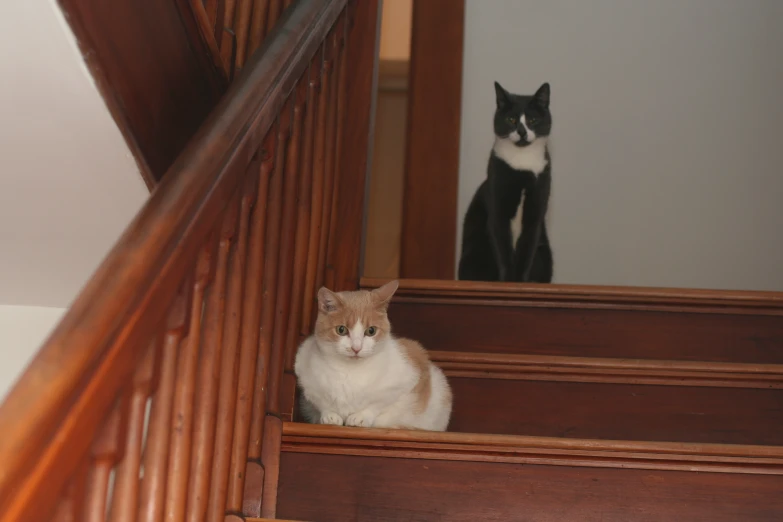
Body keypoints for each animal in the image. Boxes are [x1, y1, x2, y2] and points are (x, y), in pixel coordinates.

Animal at [294, 280, 454, 430]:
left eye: (371, 331)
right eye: (341, 330)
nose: (356, 348)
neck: (350, 371)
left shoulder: (407, 379)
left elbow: (377, 404)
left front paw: (360, 417)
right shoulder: (307, 380)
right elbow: (323, 403)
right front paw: (330, 415)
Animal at [456, 82, 556, 282]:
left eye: (532, 120)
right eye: (511, 119)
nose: (522, 132)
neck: (523, 162)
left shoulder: (535, 212)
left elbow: (527, 251)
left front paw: (521, 282)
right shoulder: (497, 208)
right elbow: (503, 250)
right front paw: (508, 281)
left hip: (545, 254)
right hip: (474, 253)